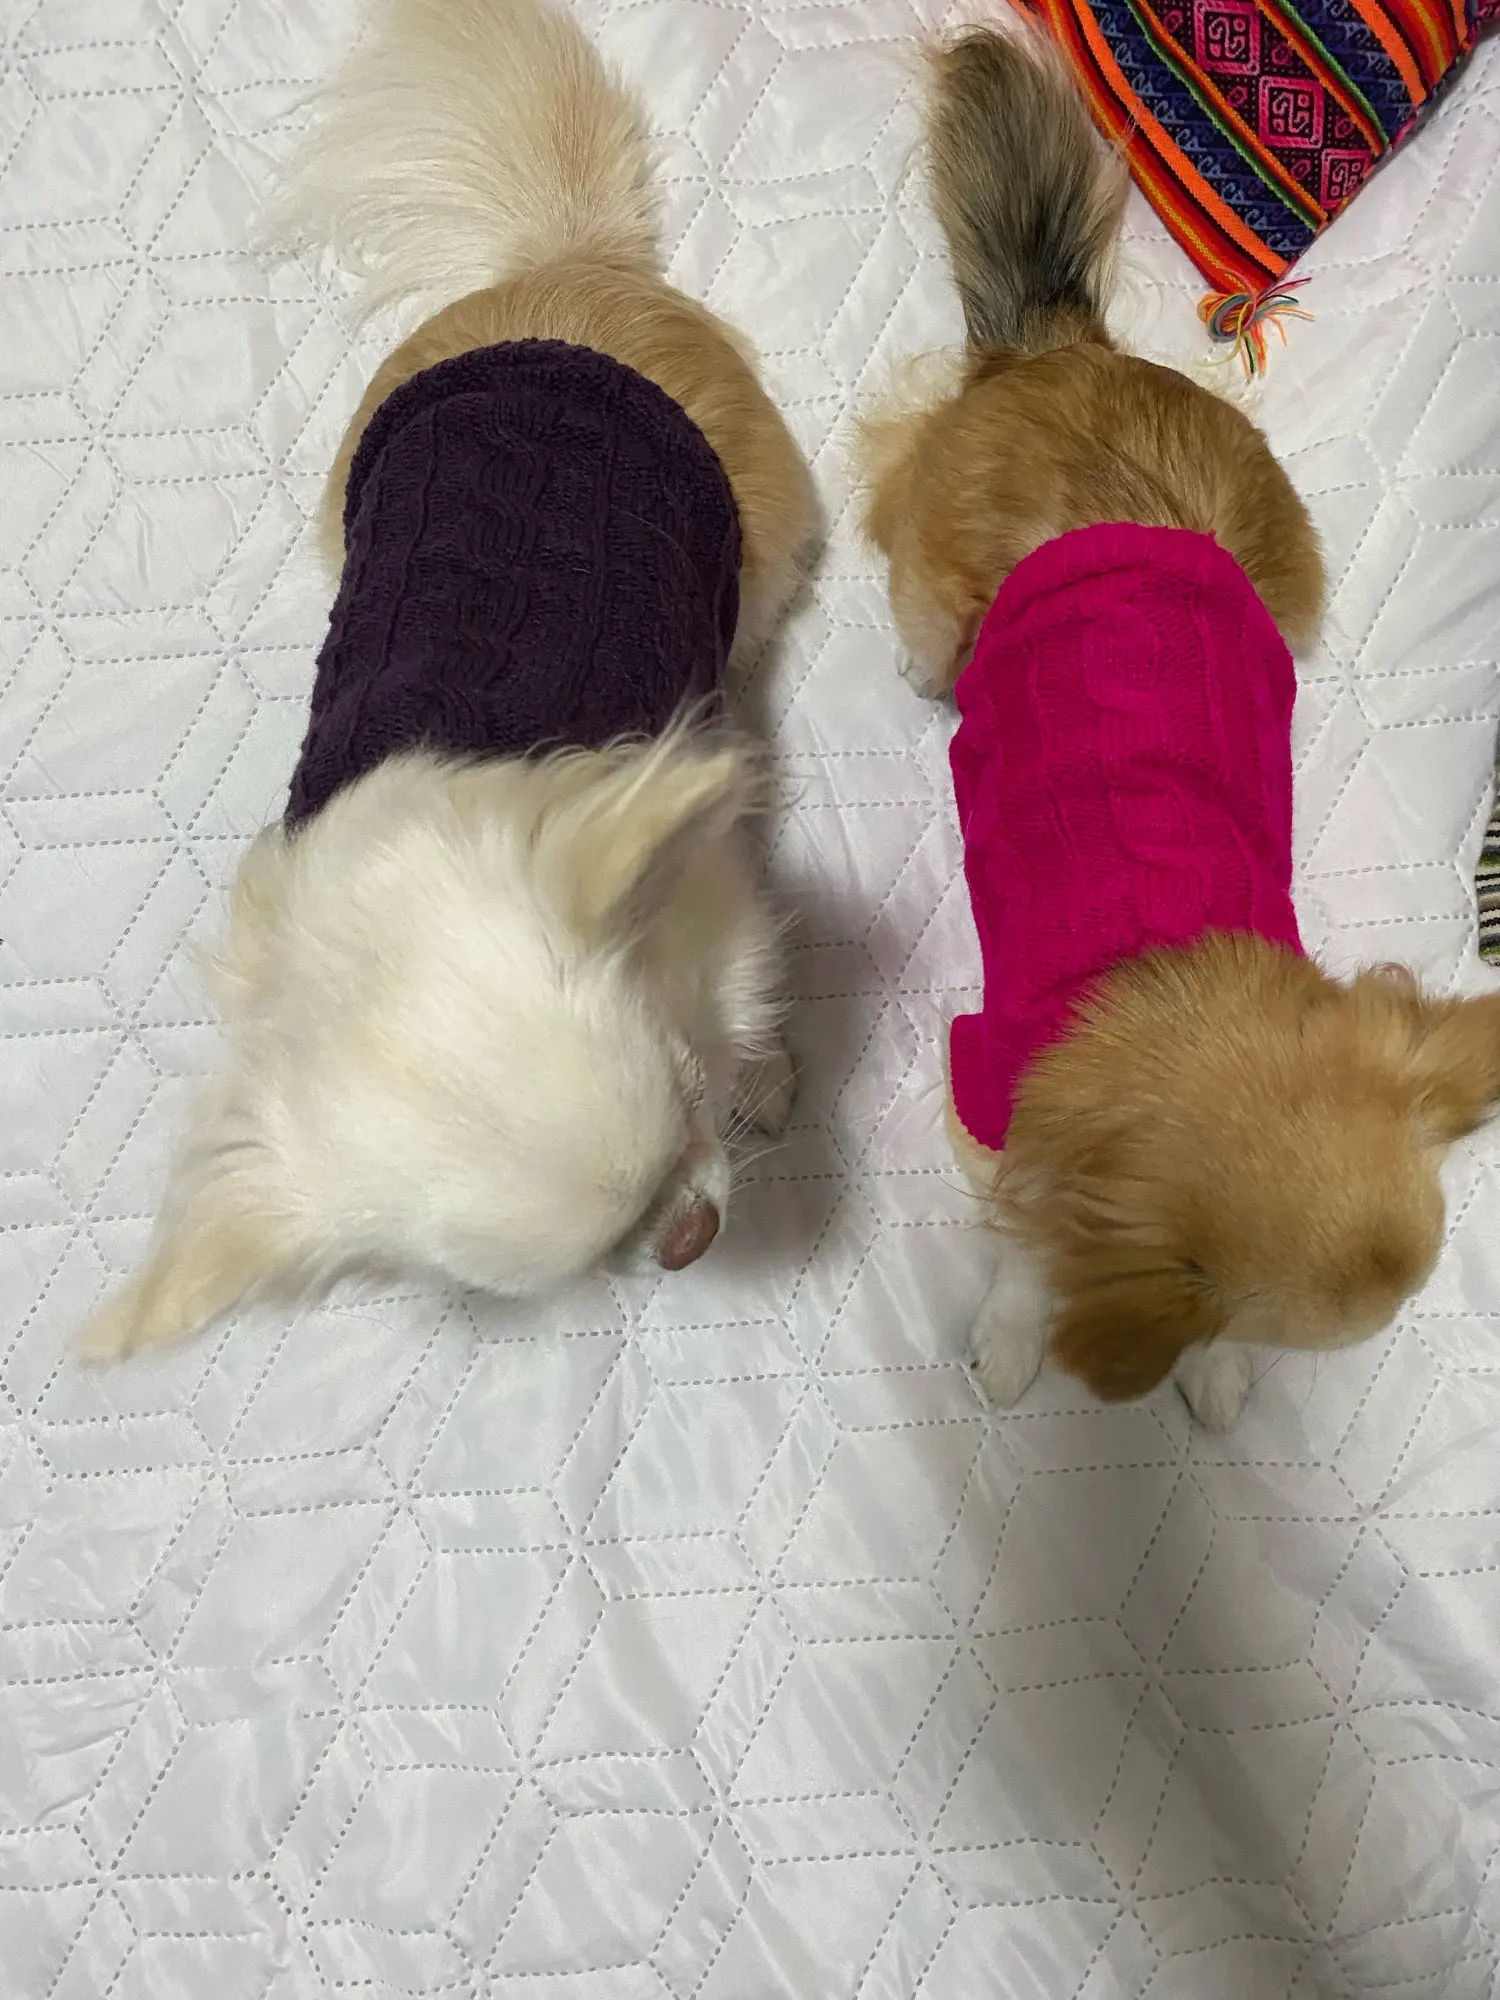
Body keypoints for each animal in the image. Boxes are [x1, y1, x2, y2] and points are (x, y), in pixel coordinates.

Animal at [78, 0, 815, 1361]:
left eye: (688, 1092)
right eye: (604, 1256)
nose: (690, 1237)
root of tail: (553, 271)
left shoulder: (713, 877)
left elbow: (752, 987)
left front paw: (770, 1077)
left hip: (764, 533)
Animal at [860, 27, 1500, 1430]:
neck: (1178, 981)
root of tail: (1058, 349)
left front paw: (1211, 1370)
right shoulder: (991, 1101)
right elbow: (1024, 1246)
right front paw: (1015, 1333)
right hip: (933, 590)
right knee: (925, 623)